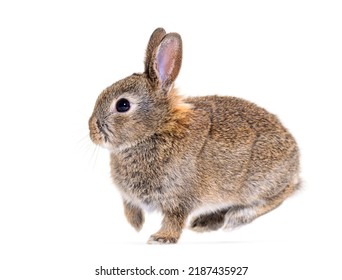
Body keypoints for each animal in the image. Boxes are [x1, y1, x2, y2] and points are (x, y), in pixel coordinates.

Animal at [88, 27, 300, 244]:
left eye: (123, 105)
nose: (91, 131)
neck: (158, 128)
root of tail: (295, 155)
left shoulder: (178, 197)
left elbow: (174, 219)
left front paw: (161, 238)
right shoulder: (131, 199)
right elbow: (131, 211)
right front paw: (136, 227)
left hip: (259, 183)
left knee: (281, 194)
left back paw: (237, 218)